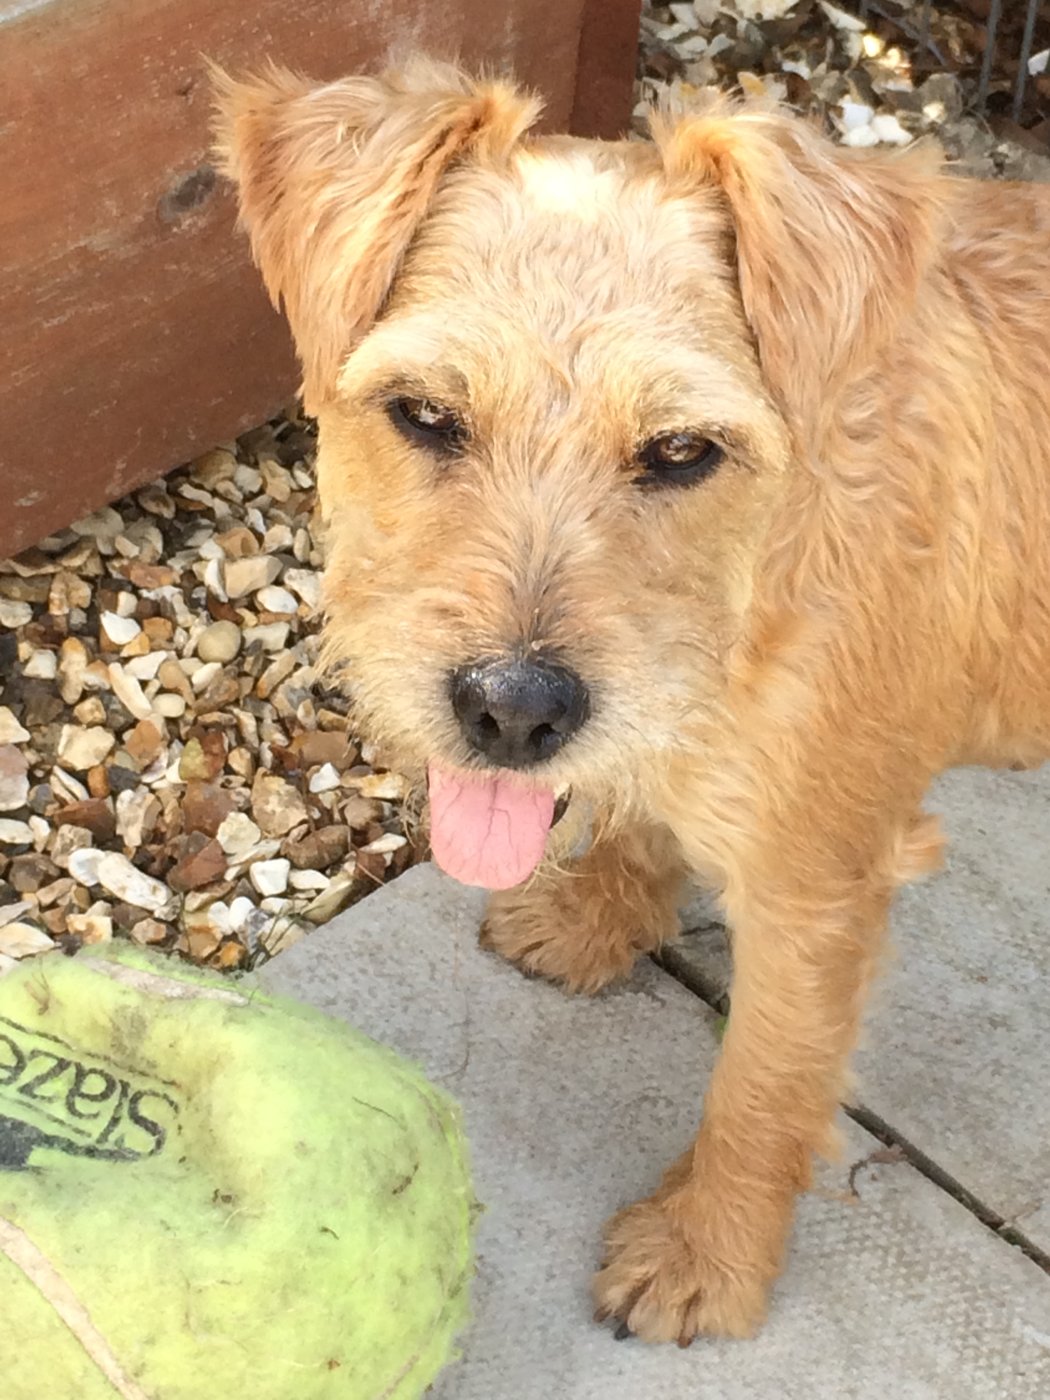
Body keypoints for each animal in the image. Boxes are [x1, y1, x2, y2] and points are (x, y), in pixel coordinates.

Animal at [213, 57, 1050, 1344]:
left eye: (680, 449)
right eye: (426, 413)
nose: (511, 709)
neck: (754, 580)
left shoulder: (817, 892)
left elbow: (763, 1086)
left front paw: (706, 1253)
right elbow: (645, 814)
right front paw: (600, 911)